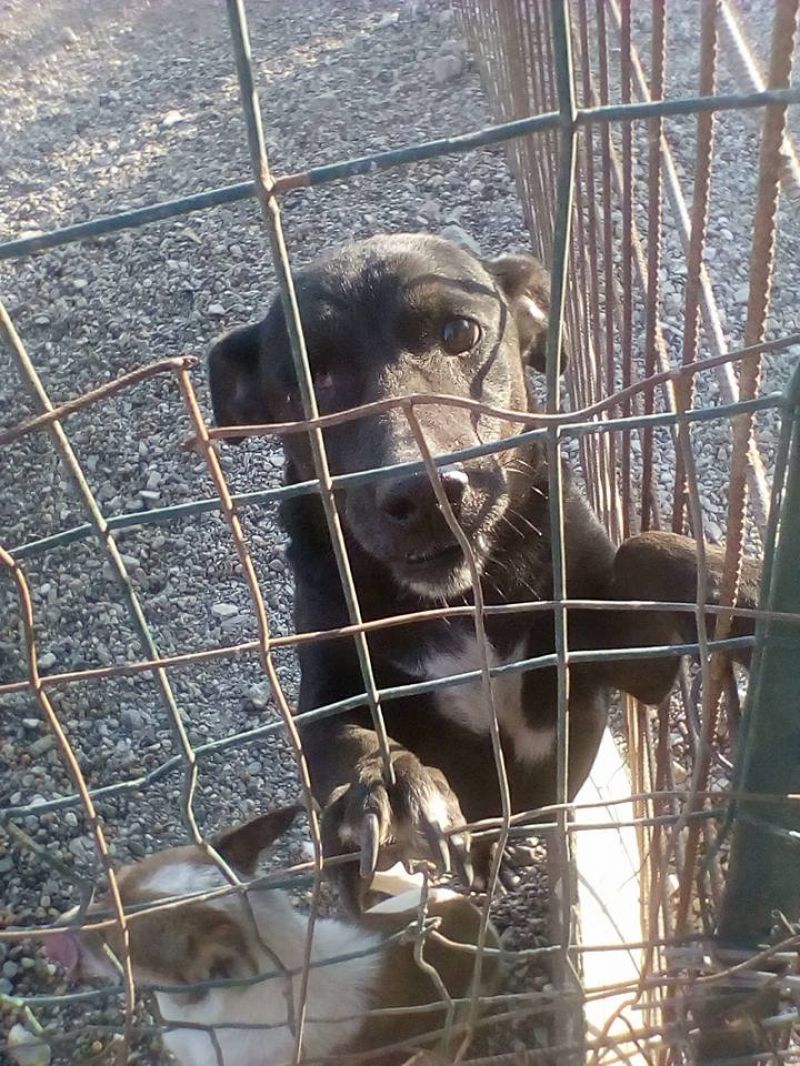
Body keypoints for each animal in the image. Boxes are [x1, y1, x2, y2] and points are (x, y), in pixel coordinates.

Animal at [210, 233, 759, 908]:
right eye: (307, 385)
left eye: (459, 332)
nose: (421, 492)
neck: (461, 597)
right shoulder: (327, 688)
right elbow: (340, 735)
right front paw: (390, 783)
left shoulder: (627, 664)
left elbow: (645, 549)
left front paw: (741, 587)